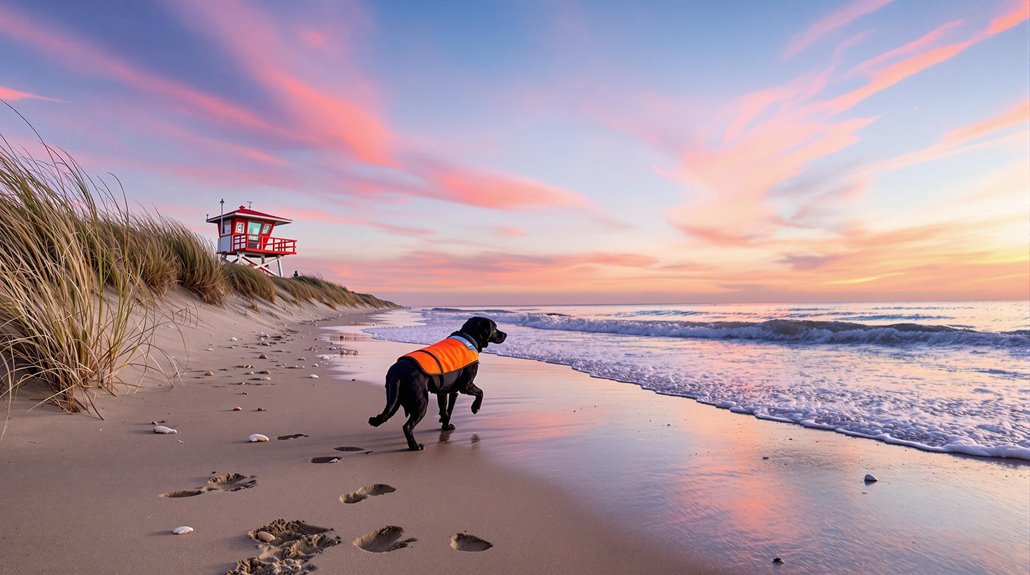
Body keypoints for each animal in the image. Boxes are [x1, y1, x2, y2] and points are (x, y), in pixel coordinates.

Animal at [370, 317, 506, 453]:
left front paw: (446, 426)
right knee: (407, 426)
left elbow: (446, 411)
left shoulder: (445, 391)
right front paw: (475, 408)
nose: (505, 334)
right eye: (495, 328)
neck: (469, 336)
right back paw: (415, 446)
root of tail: (397, 371)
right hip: (421, 402)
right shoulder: (465, 386)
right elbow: (480, 392)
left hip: (394, 399)